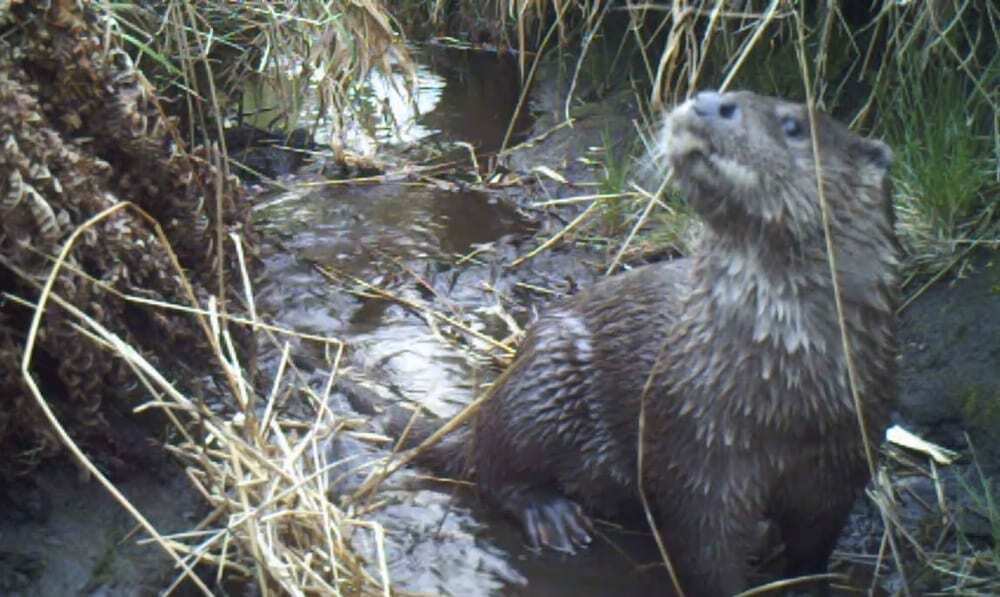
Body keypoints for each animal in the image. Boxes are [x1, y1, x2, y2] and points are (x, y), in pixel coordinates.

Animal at [390, 89, 900, 596]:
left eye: (793, 126)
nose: (707, 100)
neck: (785, 397)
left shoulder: (842, 463)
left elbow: (813, 551)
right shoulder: (696, 452)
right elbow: (706, 554)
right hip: (545, 375)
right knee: (492, 464)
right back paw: (552, 516)